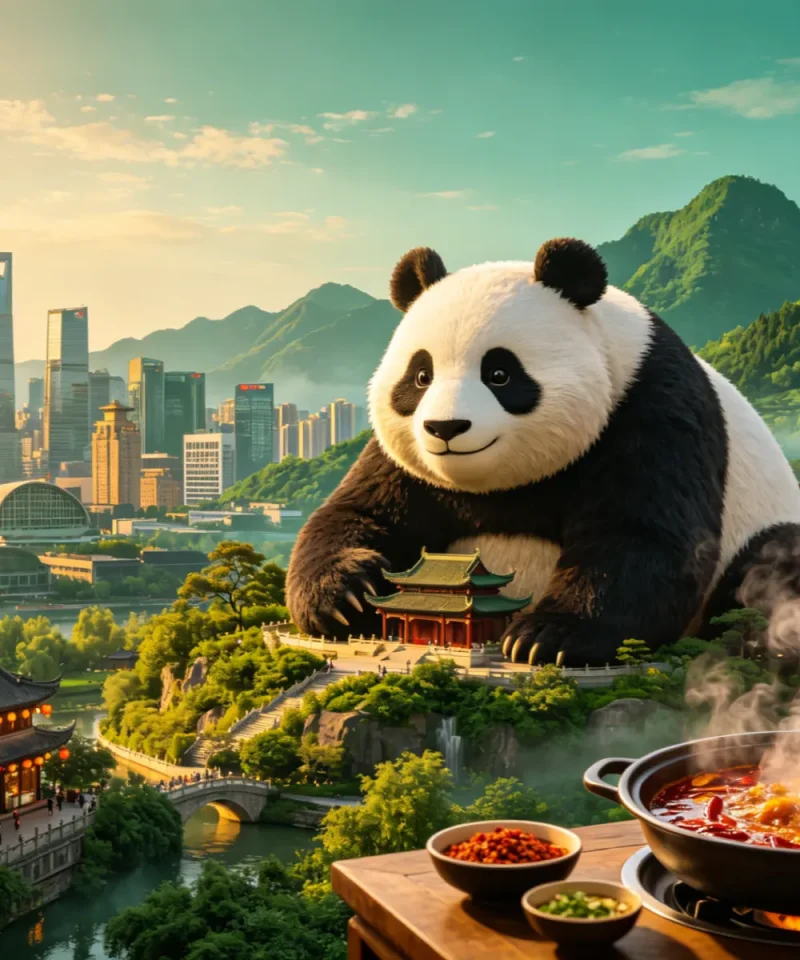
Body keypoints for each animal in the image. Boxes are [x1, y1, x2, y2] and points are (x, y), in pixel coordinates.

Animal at [286, 237, 800, 666]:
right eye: (420, 375)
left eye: (500, 374)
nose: (445, 428)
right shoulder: (404, 463)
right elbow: (360, 511)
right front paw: (347, 597)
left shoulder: (650, 406)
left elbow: (643, 534)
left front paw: (545, 638)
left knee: (771, 566)